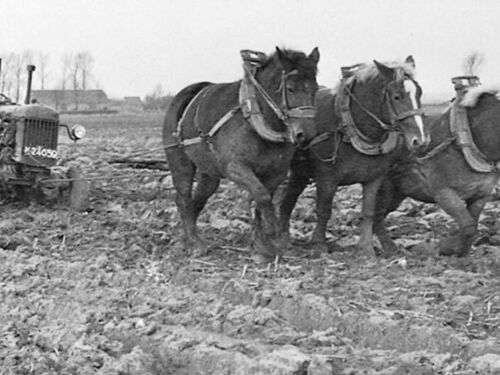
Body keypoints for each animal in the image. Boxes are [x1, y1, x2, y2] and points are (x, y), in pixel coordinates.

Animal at [164, 47, 320, 262]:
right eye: (290, 89)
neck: (254, 117)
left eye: (315, 89)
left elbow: (263, 201)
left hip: (209, 172)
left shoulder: (276, 173)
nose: (306, 135)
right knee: (183, 199)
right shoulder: (236, 168)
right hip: (180, 163)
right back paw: (195, 243)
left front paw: (263, 247)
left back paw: (184, 239)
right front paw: (271, 233)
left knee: (197, 201)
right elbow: (262, 197)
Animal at [278, 56, 430, 256]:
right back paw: (283, 239)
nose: (420, 141)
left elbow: (369, 212)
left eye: (419, 93)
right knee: (285, 200)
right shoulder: (327, 176)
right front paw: (319, 244)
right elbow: (324, 210)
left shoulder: (374, 177)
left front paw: (366, 249)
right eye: (397, 96)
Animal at [374, 76, 500, 258]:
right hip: (383, 189)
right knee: (375, 216)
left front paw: (461, 252)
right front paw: (446, 248)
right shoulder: (444, 194)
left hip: (397, 192)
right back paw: (390, 249)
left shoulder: (480, 196)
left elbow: (472, 226)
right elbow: (468, 227)